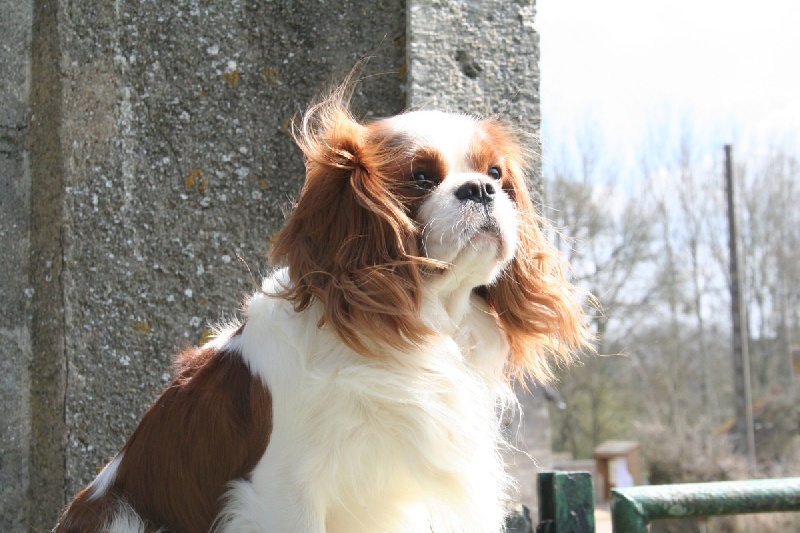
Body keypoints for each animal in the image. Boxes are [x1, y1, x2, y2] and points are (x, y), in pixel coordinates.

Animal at [53, 85, 584, 528]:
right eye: (419, 177)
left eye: (496, 174)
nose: (480, 188)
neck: (415, 322)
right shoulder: (284, 490)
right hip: (124, 517)